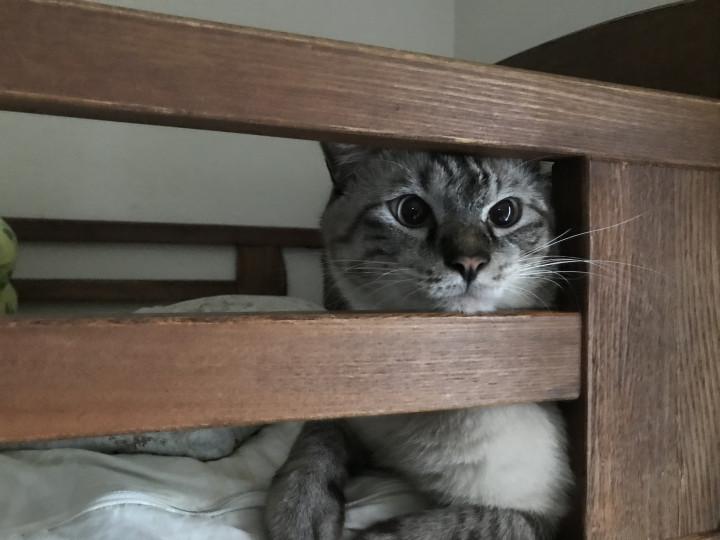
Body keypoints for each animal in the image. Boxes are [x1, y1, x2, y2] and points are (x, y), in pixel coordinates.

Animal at [264, 144, 573, 540]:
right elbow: (316, 440)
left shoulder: (542, 516)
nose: (470, 262)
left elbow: (411, 530)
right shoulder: (357, 426)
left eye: (505, 213)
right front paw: (302, 513)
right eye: (411, 211)